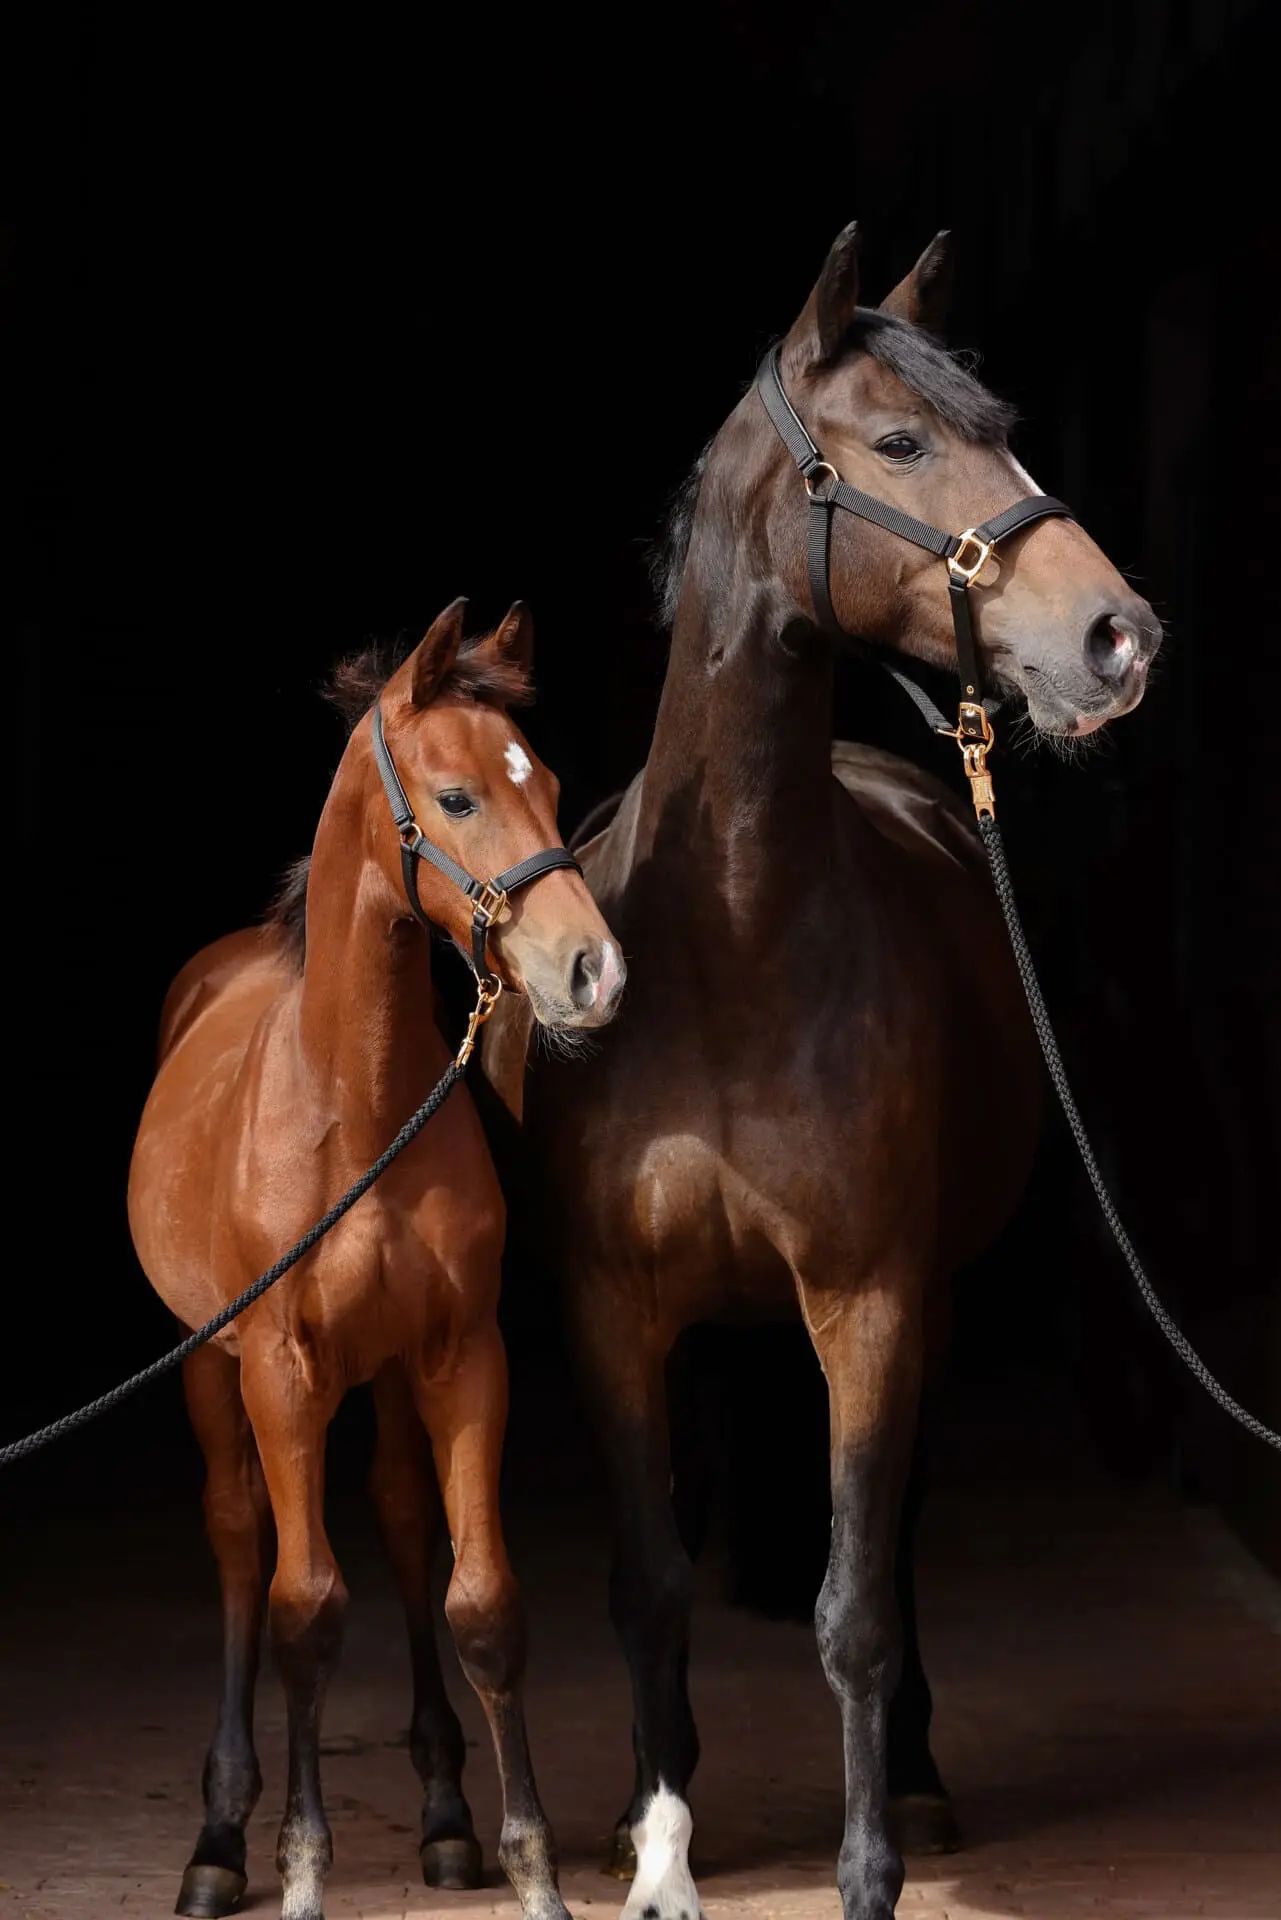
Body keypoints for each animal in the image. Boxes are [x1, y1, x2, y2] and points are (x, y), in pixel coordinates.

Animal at [128, 598, 625, 1920]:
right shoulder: (282, 1372)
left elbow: (482, 1600)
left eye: (553, 784)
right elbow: (304, 1610)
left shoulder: (463, 1357)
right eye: (455, 797)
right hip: (212, 1368)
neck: (355, 1108)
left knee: (403, 1520)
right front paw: (299, 1869)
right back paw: (218, 1840)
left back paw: (446, 1812)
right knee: (241, 1544)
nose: (593, 971)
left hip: (393, 1378)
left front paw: (534, 1868)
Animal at [483, 225, 1161, 1920]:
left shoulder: (873, 1298)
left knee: (895, 1543)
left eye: (1008, 428)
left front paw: (868, 1871)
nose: (1120, 639)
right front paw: (660, 1851)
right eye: (904, 443)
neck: (734, 943)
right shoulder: (610, 1308)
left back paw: (910, 1779)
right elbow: (649, 1582)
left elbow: (853, 1603)